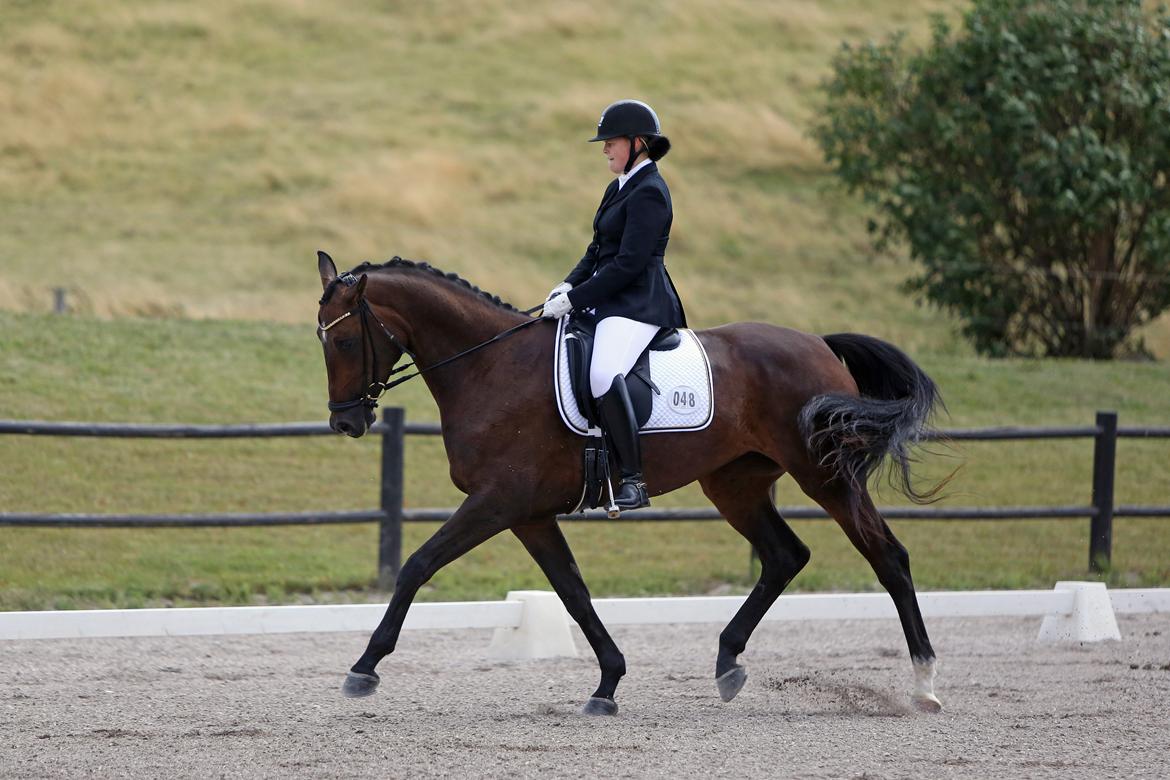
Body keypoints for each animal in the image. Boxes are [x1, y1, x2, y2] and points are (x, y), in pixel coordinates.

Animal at [315, 253, 945, 715]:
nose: (346, 423)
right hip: (734, 484)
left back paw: (923, 686)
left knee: (888, 557)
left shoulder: (498, 501)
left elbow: (418, 564)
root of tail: (818, 343)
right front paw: (607, 684)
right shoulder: (529, 514)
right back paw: (727, 663)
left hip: (825, 475)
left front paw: (363, 668)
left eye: (343, 341)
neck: (489, 367)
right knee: (785, 555)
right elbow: (573, 592)